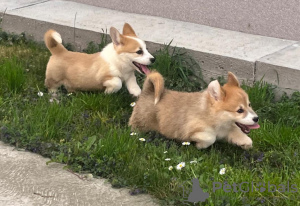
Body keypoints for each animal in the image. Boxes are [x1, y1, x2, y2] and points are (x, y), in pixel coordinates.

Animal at [129, 71, 260, 149]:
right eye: (240, 110)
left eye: (249, 105)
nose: (256, 118)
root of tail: (148, 92)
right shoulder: (193, 129)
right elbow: (210, 138)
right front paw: (200, 145)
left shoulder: (227, 129)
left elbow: (238, 133)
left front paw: (245, 142)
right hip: (141, 123)